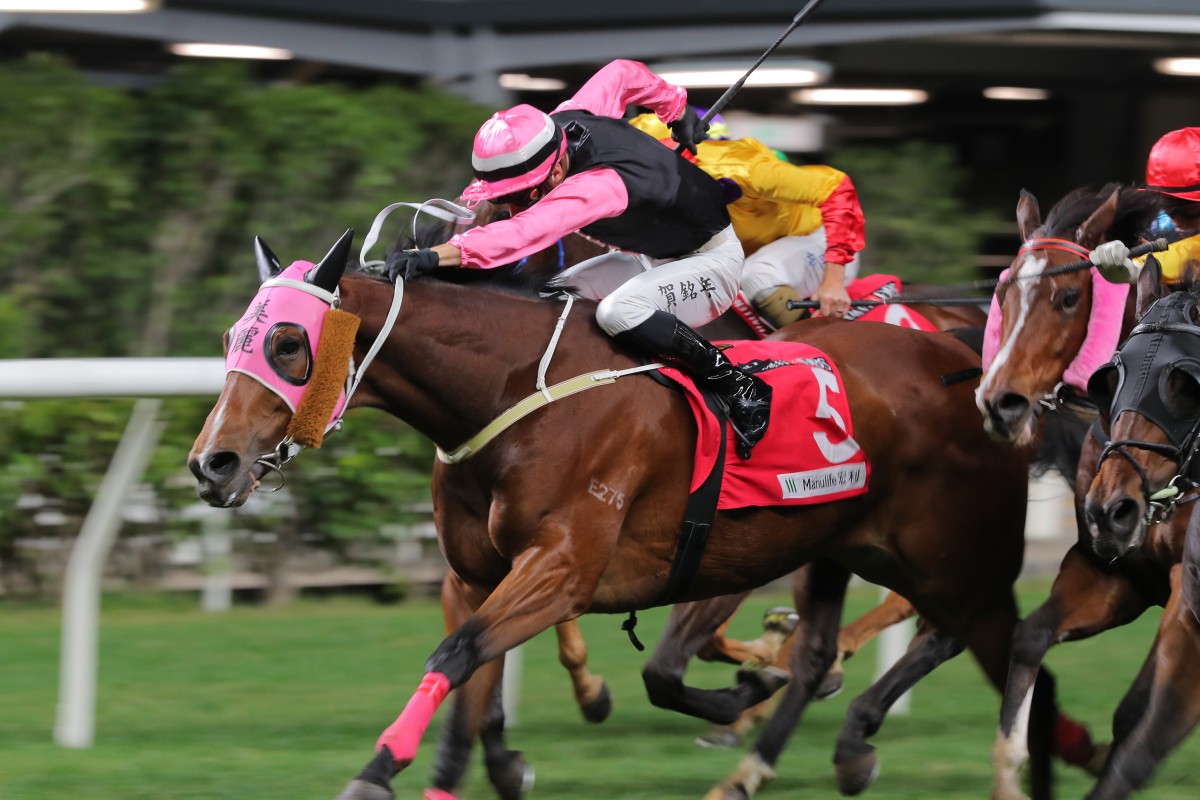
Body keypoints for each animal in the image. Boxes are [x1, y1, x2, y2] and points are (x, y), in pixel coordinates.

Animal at [192, 231, 1065, 800]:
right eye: (234, 335)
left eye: (288, 343)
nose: (212, 462)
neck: (516, 390)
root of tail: (968, 362)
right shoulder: (474, 573)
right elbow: (477, 681)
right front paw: (486, 766)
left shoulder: (570, 566)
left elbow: (466, 655)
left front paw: (377, 773)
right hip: (852, 542)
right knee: (877, 638)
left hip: (937, 548)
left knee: (953, 628)